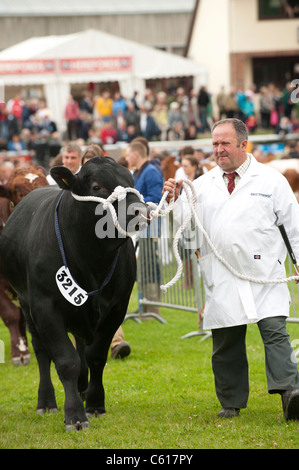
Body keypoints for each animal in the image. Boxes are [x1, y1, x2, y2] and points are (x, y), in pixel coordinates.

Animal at [0, 157, 151, 430]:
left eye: (131, 180)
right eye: (96, 186)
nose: (140, 212)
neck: (93, 259)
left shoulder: (117, 307)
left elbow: (96, 356)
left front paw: (95, 404)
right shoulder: (45, 307)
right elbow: (65, 360)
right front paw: (75, 415)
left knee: (81, 345)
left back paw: (82, 386)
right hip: (27, 304)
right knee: (42, 351)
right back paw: (46, 401)